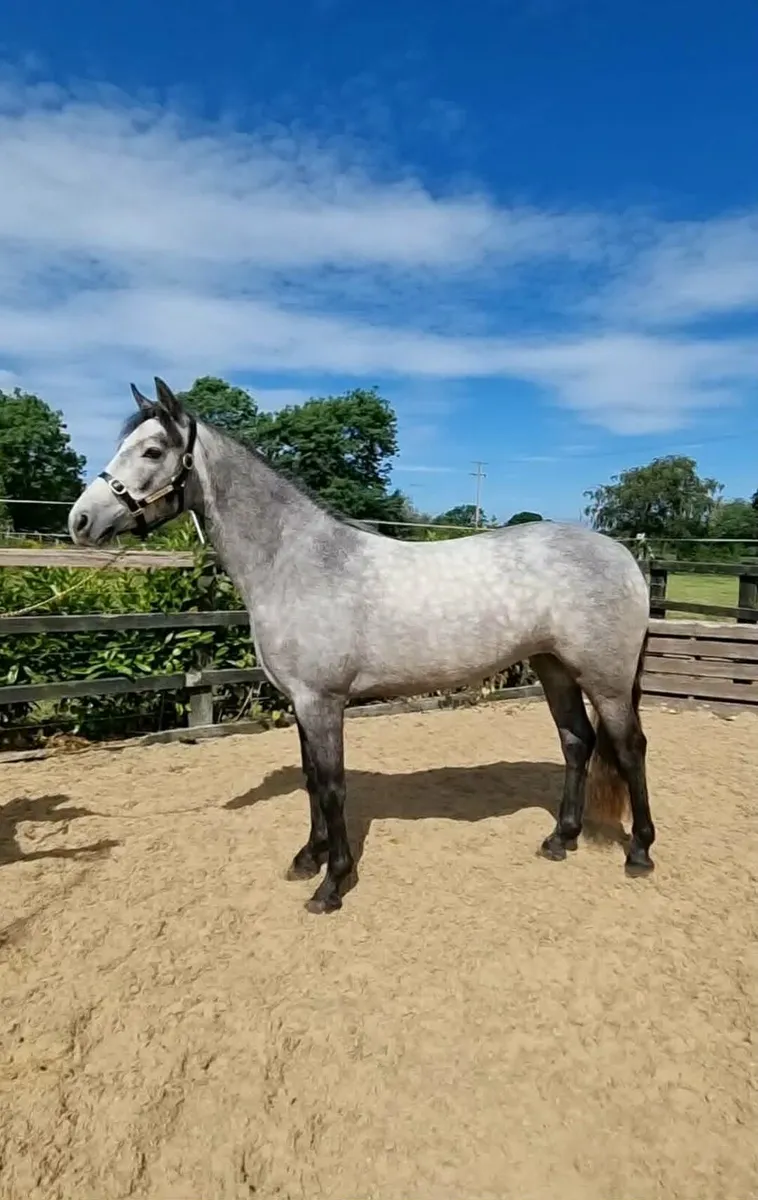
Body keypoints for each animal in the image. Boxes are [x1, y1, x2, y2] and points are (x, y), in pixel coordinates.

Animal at [68, 377, 655, 914]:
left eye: (152, 450)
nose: (80, 520)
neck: (298, 563)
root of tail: (622, 556)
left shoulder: (323, 702)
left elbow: (332, 786)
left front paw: (331, 884)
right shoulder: (301, 703)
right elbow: (311, 781)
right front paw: (308, 858)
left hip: (605, 680)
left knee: (629, 748)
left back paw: (640, 853)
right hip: (552, 667)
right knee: (576, 741)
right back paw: (561, 838)